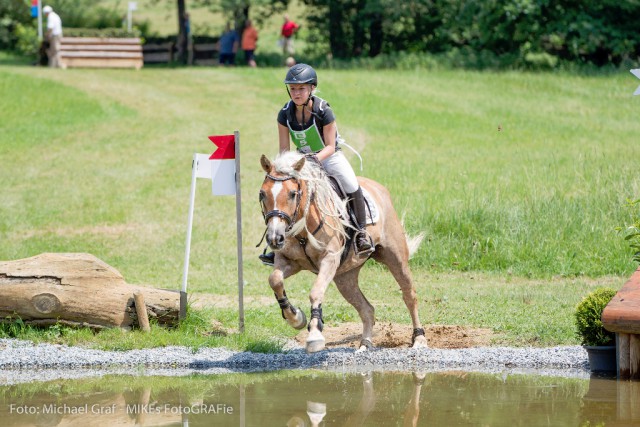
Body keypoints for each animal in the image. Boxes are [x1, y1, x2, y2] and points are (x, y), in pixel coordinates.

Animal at [258, 152, 428, 352]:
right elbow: (275, 280)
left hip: (395, 258)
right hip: (345, 277)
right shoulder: (288, 261)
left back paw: (419, 339)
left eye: (293, 194)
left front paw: (314, 334)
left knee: (409, 295)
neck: (303, 227)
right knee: (367, 309)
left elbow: (315, 291)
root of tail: (380, 189)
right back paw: (365, 344)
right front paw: (296, 318)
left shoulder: (329, 259)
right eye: (262, 194)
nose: (274, 238)